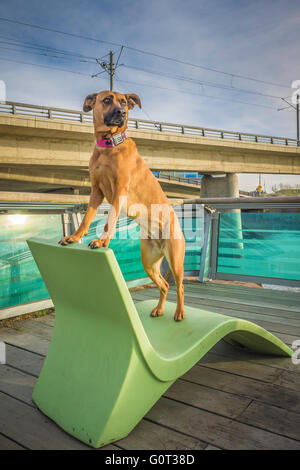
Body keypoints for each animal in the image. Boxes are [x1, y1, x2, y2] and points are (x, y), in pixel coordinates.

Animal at [58, 90, 185, 322]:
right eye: (107, 100)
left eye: (124, 102)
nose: (122, 113)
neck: (110, 146)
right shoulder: (96, 191)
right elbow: (87, 218)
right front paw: (74, 236)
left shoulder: (119, 191)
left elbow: (110, 221)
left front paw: (101, 241)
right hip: (149, 262)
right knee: (164, 285)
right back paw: (159, 309)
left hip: (175, 260)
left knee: (179, 287)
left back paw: (179, 312)